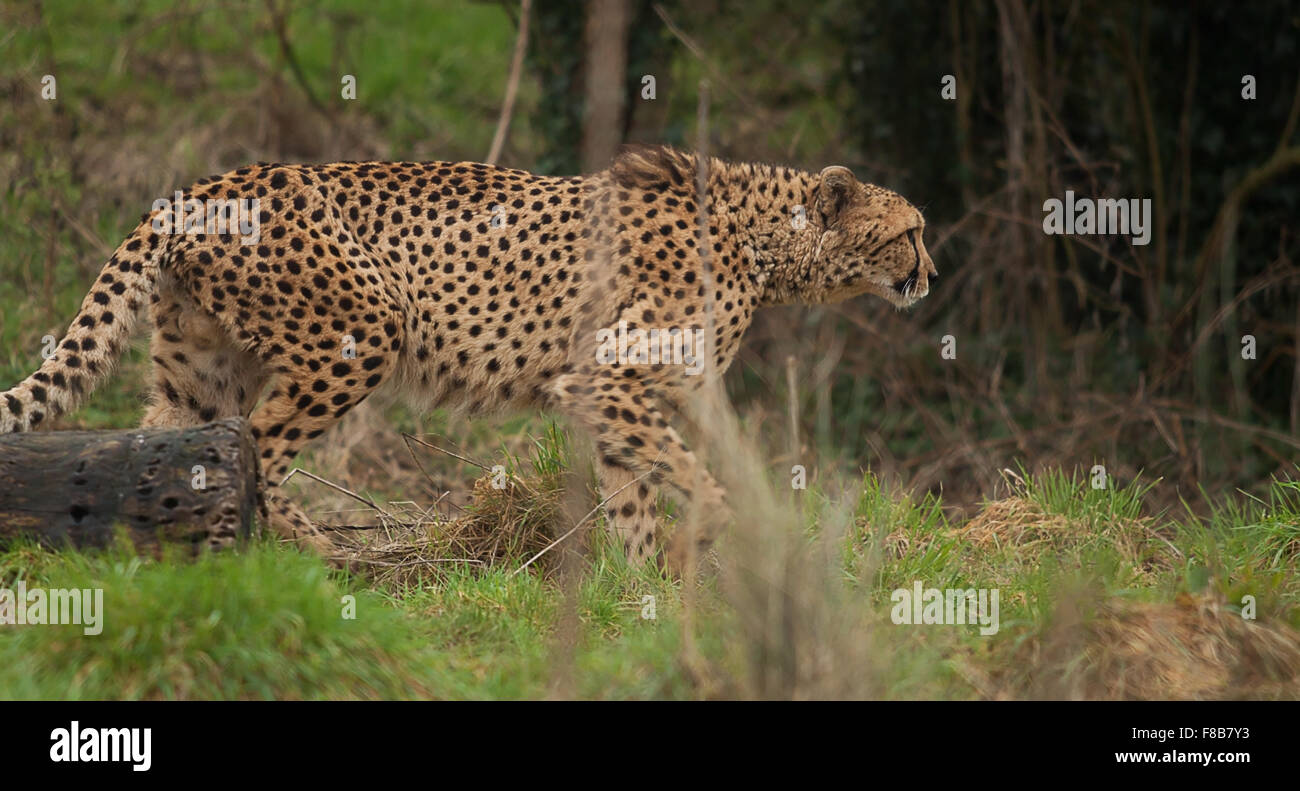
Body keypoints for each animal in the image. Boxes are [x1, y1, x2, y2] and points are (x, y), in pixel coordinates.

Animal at [0, 145, 935, 572]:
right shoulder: (604, 376)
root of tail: (202, 185)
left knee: (165, 452)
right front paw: (709, 537)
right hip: (363, 327)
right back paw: (331, 557)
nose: (930, 274)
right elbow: (685, 475)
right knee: (258, 446)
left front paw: (645, 593)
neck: (764, 240)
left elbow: (635, 491)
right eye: (912, 231)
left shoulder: (622, 394)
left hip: (198, 371)